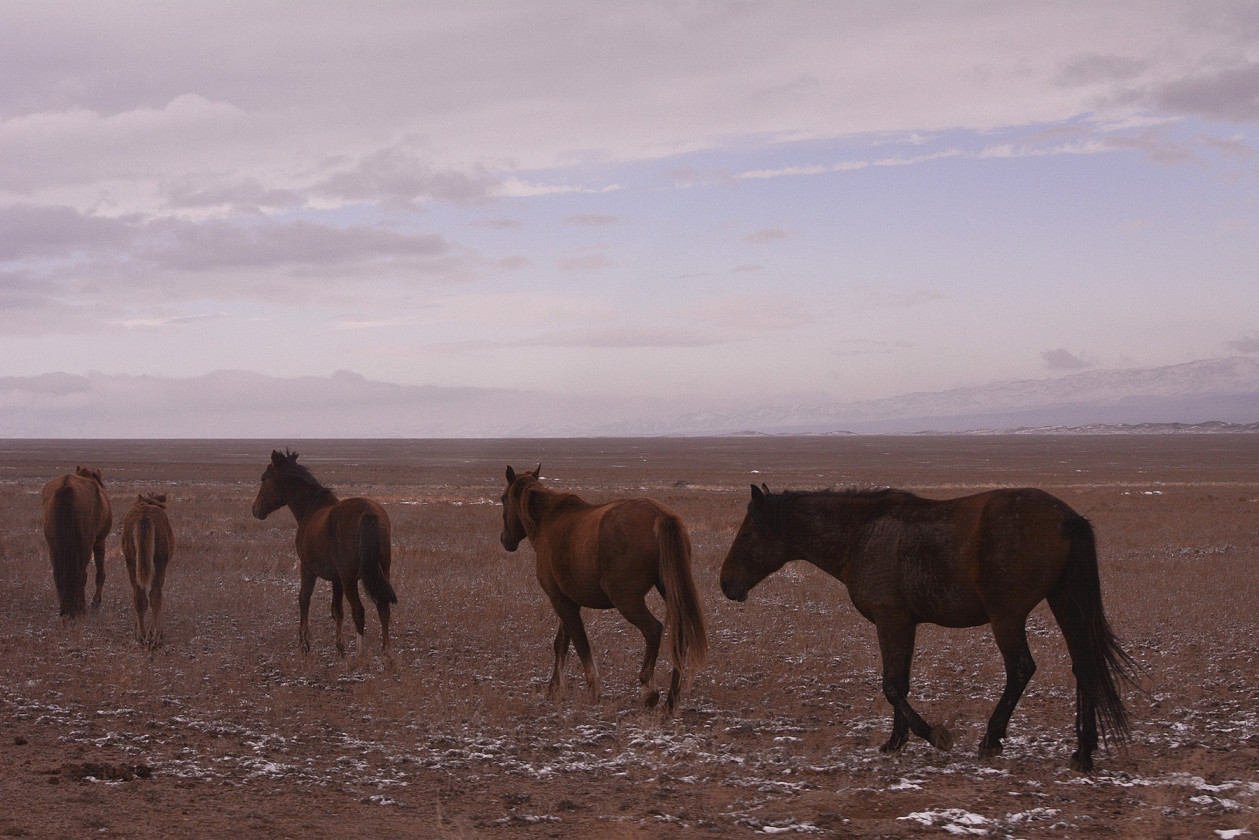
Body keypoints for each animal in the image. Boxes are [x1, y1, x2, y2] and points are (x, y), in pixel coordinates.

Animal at [40, 467, 112, 618]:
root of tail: (66, 486)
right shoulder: (100, 542)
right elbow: (100, 573)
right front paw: (96, 602)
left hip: (53, 546)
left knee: (58, 575)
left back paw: (65, 609)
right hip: (85, 546)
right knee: (81, 574)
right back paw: (81, 608)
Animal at [122, 493, 175, 646]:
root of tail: (144, 518)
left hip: (132, 562)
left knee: (139, 596)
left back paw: (141, 635)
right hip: (159, 564)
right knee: (155, 596)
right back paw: (156, 636)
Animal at [251, 450, 397, 660]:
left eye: (264, 479)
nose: (255, 509)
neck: (311, 510)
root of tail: (369, 513)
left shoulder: (308, 569)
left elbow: (304, 599)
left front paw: (304, 643)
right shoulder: (336, 579)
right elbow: (336, 610)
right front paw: (340, 647)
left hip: (350, 579)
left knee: (359, 611)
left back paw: (359, 655)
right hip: (381, 572)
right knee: (383, 608)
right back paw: (387, 653)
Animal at [500, 465, 707, 712]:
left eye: (503, 499)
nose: (505, 539)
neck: (549, 522)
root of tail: (660, 516)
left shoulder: (560, 601)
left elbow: (580, 644)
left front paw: (593, 690)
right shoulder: (568, 601)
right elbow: (561, 644)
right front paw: (553, 689)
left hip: (626, 600)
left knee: (653, 629)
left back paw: (649, 689)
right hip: (668, 589)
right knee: (681, 634)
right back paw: (671, 700)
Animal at [719, 484, 1134, 772]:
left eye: (747, 534)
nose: (726, 584)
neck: (862, 535)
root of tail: (1067, 519)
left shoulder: (891, 620)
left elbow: (891, 686)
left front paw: (933, 735)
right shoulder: (905, 623)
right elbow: (899, 684)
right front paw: (895, 741)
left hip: (1007, 615)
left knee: (1021, 669)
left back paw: (991, 739)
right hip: (1065, 602)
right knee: (1084, 665)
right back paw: (1083, 752)